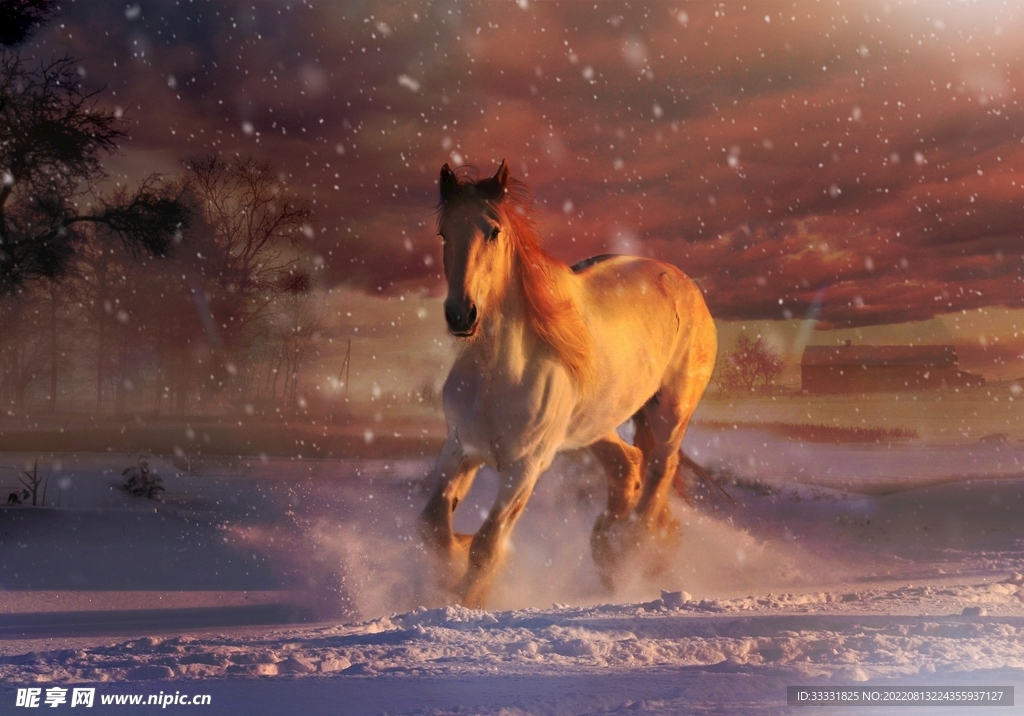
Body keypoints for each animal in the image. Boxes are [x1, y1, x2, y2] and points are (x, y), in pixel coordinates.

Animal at [418, 160, 717, 607]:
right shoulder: (459, 448)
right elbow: (433, 527)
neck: (497, 376)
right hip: (594, 424)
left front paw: (466, 600)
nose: (460, 315)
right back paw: (607, 552)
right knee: (628, 465)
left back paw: (631, 556)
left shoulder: (525, 467)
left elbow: (487, 545)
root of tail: (685, 284)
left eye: (493, 230)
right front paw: (453, 563)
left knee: (658, 475)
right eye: (443, 233)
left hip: (671, 412)